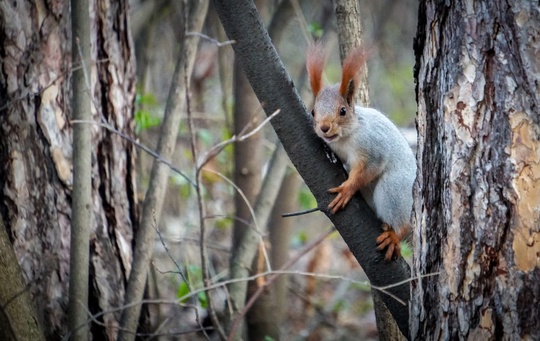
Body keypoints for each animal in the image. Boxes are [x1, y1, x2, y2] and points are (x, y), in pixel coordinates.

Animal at [306, 42, 416, 260]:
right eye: (313, 112)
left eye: (342, 111)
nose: (324, 128)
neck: (345, 137)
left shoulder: (373, 148)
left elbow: (366, 171)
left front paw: (347, 189)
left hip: (396, 189)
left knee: (403, 222)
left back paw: (395, 235)